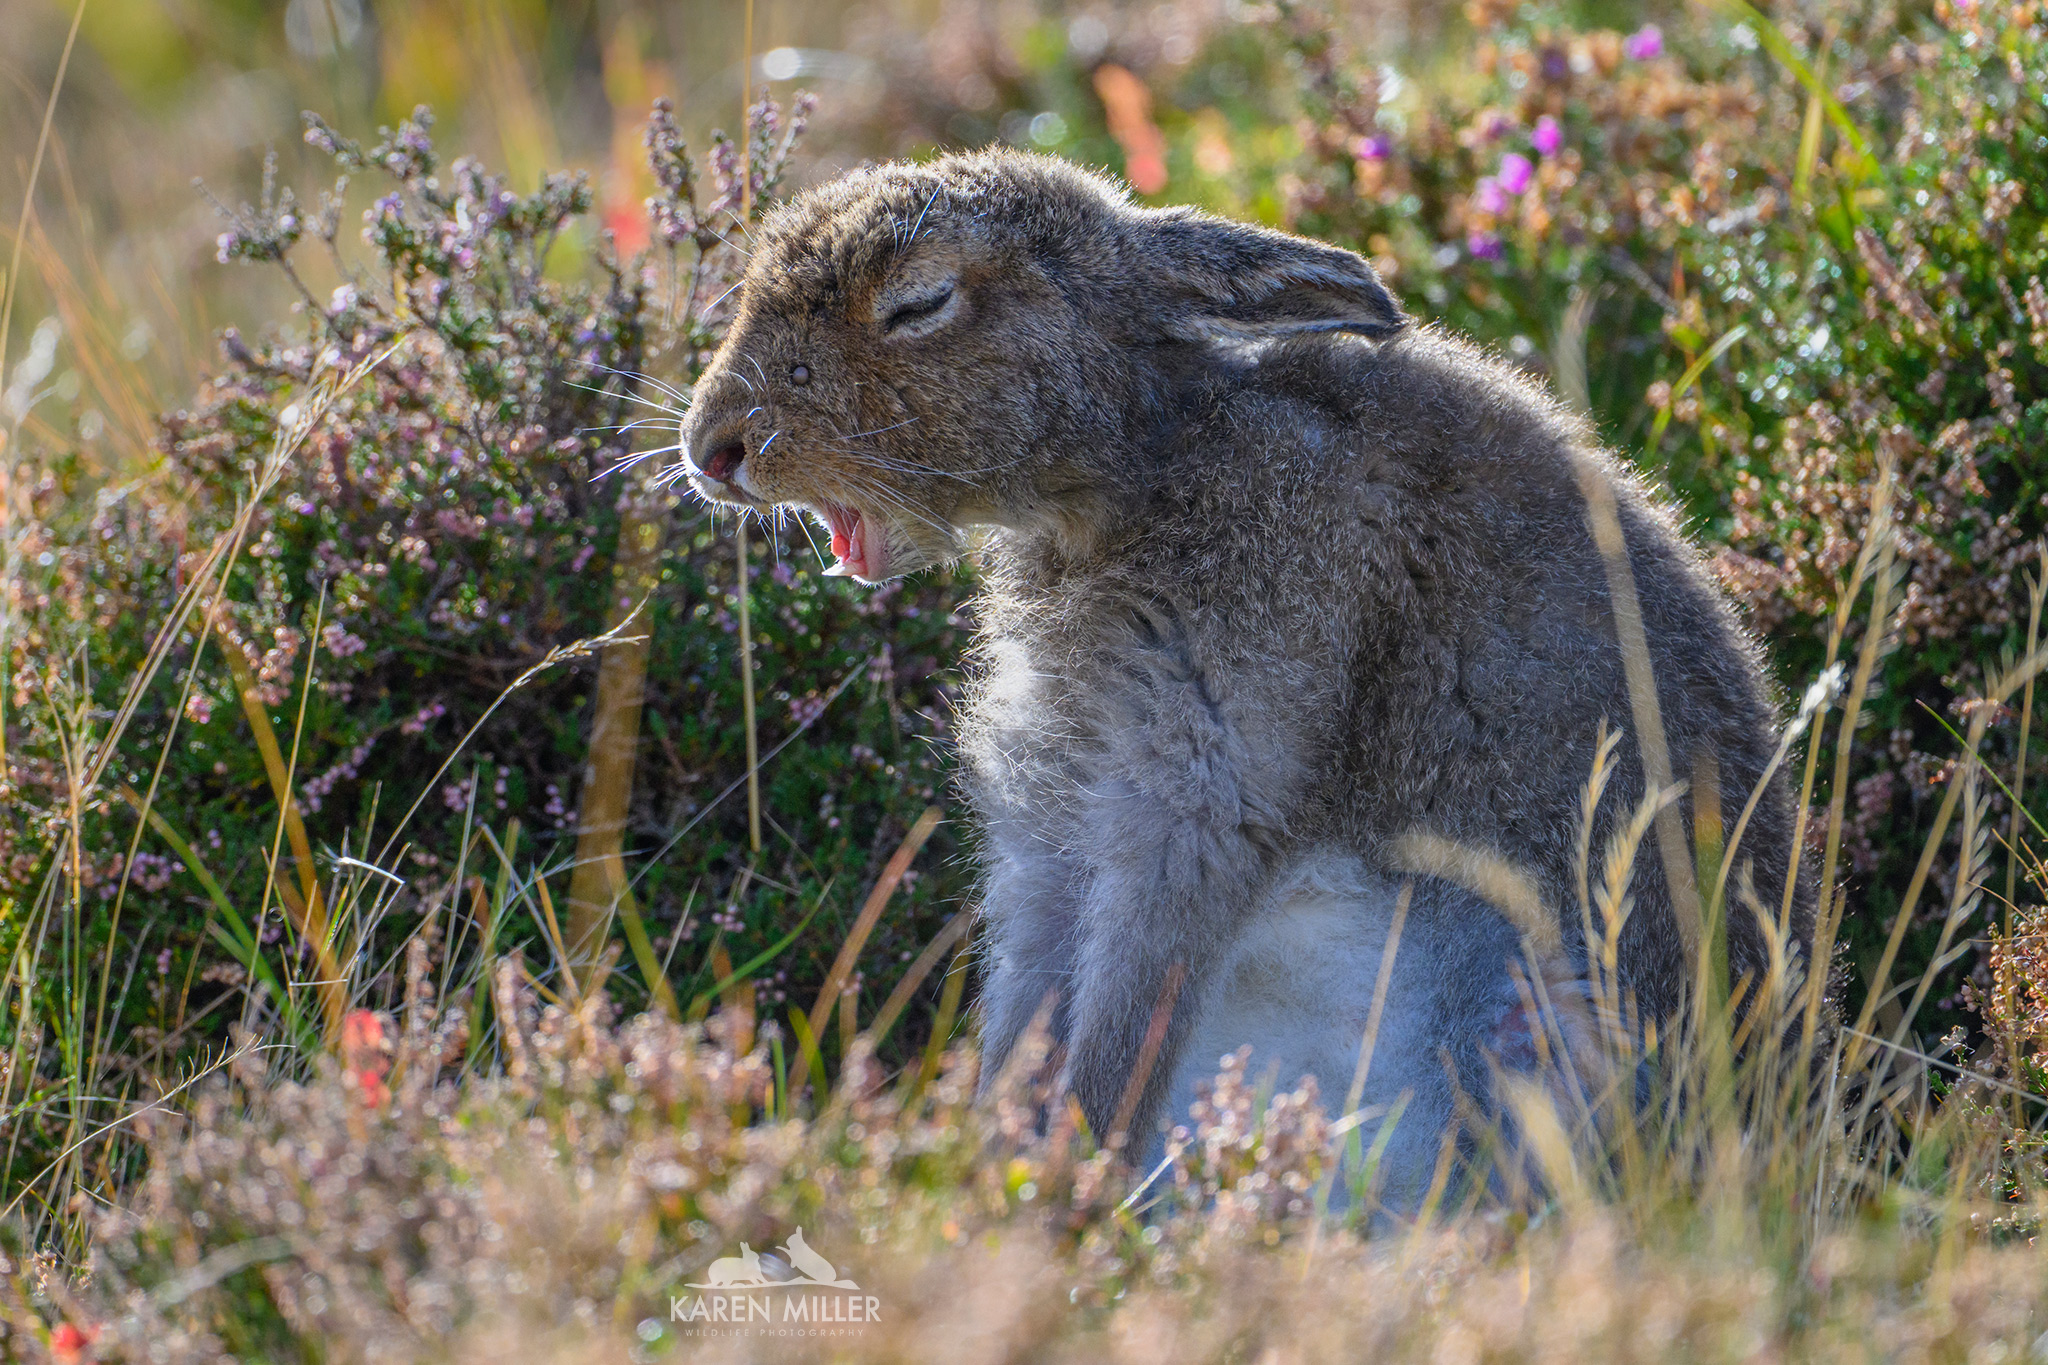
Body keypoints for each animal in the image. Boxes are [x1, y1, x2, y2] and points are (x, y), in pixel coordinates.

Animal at [673, 147, 1811, 1176]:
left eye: (920, 303)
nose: (712, 449)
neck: (1149, 460)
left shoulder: (1201, 789)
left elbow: (1131, 1009)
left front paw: (1065, 1175)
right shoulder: (1055, 824)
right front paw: (996, 1159)